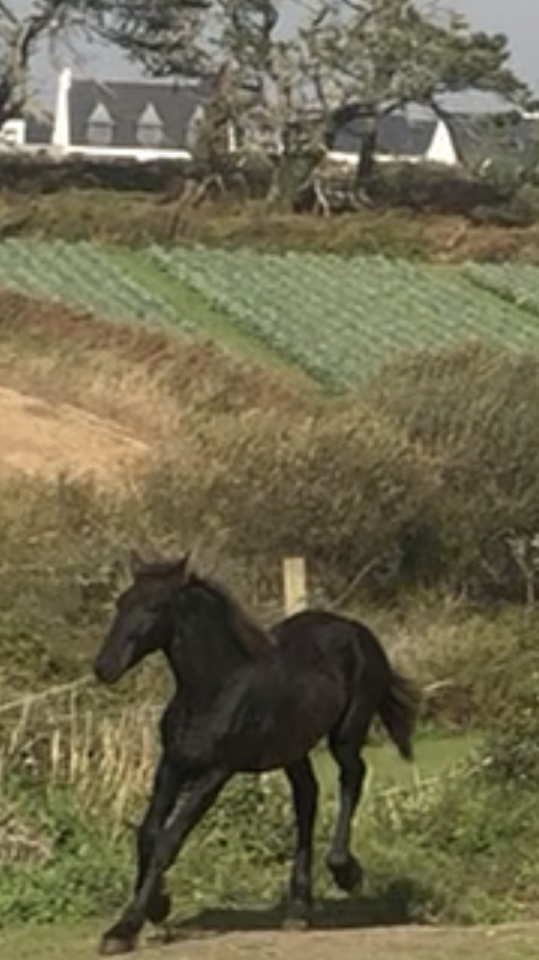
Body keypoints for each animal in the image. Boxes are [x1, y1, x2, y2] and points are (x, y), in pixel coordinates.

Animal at [93, 550, 420, 955]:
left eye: (155, 606)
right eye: (121, 603)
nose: (104, 667)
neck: (214, 688)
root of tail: (357, 629)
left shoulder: (216, 771)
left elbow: (169, 839)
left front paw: (126, 928)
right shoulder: (172, 763)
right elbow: (148, 834)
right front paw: (154, 908)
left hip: (346, 733)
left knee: (352, 777)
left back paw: (345, 872)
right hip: (293, 749)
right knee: (307, 798)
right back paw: (298, 908)